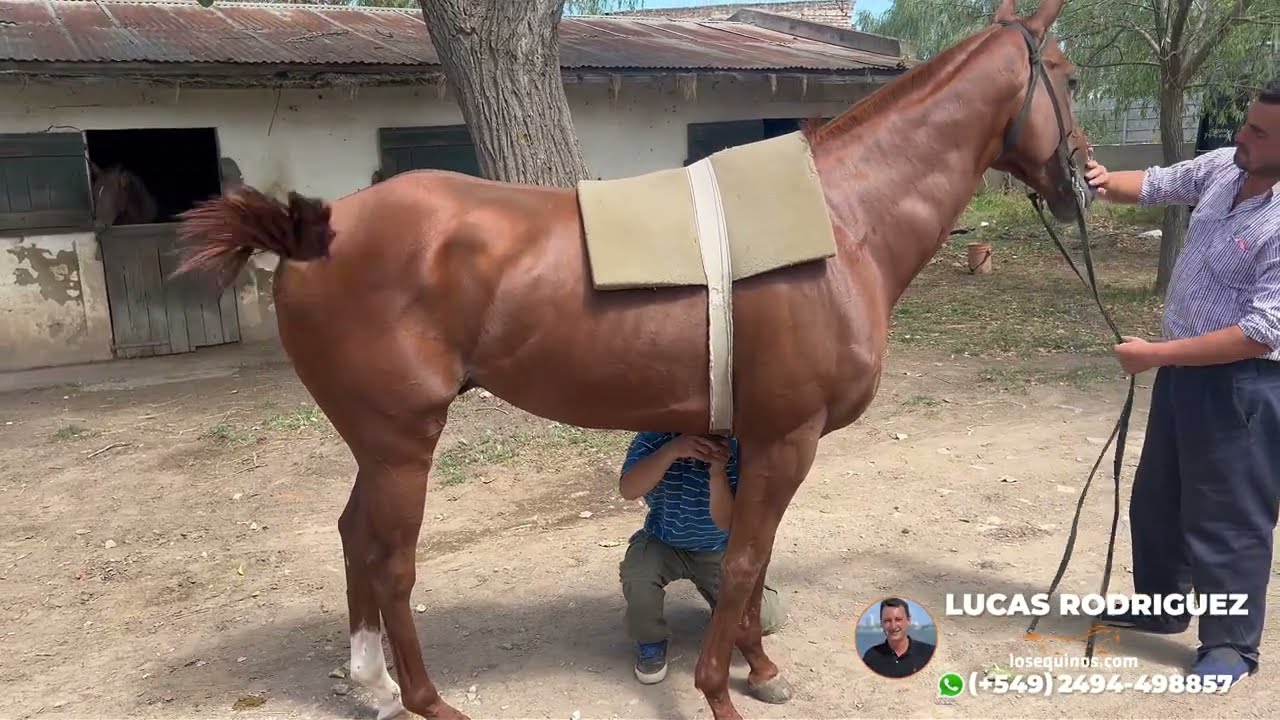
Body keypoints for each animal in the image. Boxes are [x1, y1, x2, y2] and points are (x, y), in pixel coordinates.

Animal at [172, 1, 1090, 718]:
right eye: (1072, 79)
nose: (1080, 180)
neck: (841, 221)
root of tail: (311, 233)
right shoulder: (789, 438)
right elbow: (748, 558)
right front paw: (719, 690)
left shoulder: (759, 438)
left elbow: (749, 562)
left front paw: (760, 669)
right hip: (402, 443)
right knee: (391, 561)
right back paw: (429, 700)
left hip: (376, 443)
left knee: (354, 539)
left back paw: (372, 687)